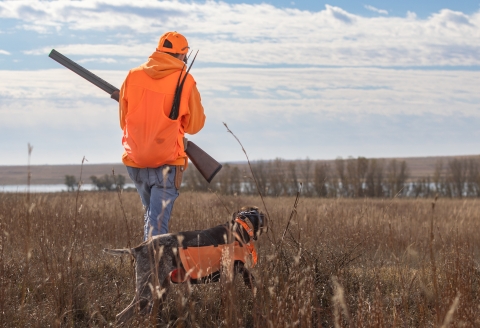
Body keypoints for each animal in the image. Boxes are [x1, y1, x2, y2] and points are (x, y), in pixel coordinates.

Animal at [104, 205, 266, 326]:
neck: (238, 229)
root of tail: (138, 248)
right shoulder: (228, 278)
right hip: (146, 291)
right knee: (121, 316)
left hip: (160, 288)